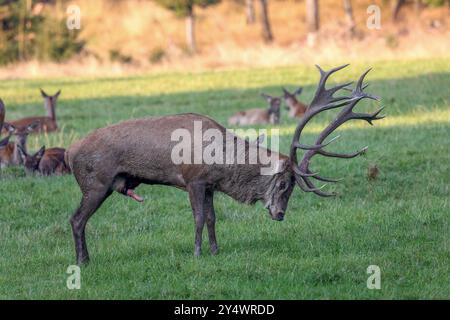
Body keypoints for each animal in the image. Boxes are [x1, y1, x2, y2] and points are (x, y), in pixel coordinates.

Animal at [67, 63, 384, 264]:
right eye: (283, 183)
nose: (280, 215)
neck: (221, 162)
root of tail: (70, 152)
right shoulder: (193, 179)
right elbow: (197, 218)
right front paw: (197, 254)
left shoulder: (209, 185)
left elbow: (211, 218)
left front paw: (215, 251)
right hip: (96, 182)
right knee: (76, 219)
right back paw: (83, 261)